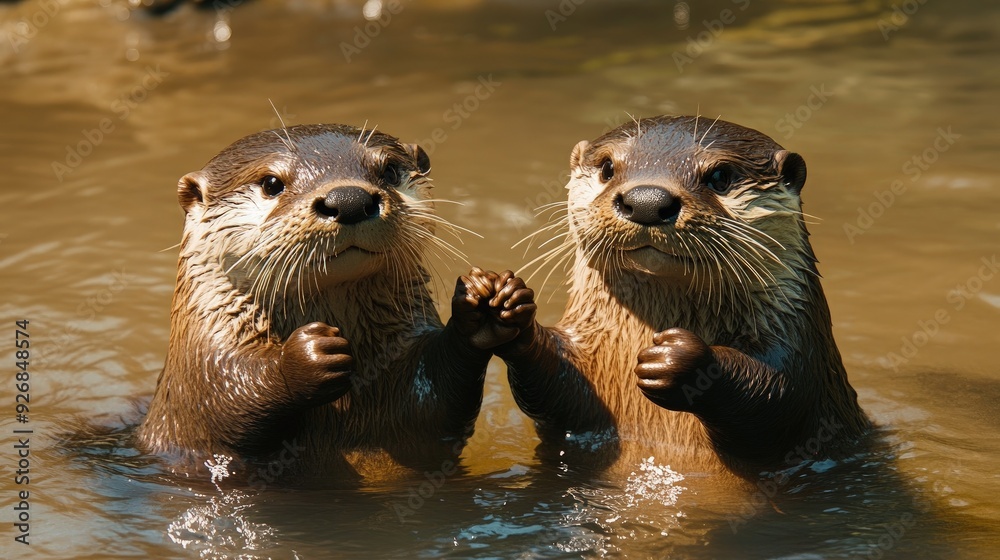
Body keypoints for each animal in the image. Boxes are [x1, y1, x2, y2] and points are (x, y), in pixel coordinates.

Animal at [136, 124, 523, 478]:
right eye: (271, 183)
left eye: (388, 170)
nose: (349, 199)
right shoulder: (204, 377)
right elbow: (226, 409)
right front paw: (308, 354)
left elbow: (440, 398)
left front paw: (481, 306)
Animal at [481, 116, 872, 478]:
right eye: (607, 167)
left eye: (720, 175)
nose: (646, 200)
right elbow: (554, 387)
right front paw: (506, 307)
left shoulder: (799, 355)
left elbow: (776, 398)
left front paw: (678, 357)